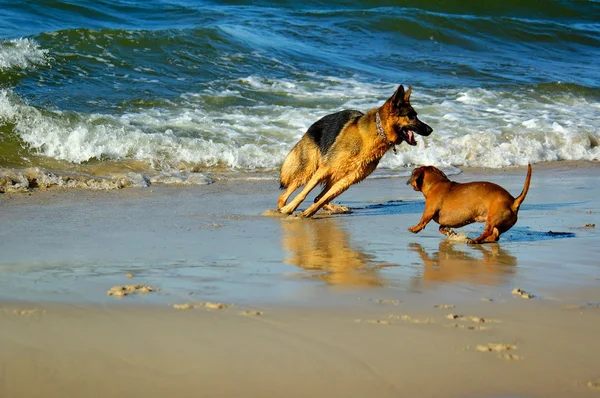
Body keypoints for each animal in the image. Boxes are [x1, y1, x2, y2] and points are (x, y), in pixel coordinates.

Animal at [276, 84, 432, 218]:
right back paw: (283, 208)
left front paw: (308, 213)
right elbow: (303, 194)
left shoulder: (349, 179)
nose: (430, 130)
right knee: (284, 196)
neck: (377, 132)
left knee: (318, 197)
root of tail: (311, 127)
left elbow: (323, 198)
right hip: (309, 170)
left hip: (335, 177)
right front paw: (291, 208)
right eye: (411, 116)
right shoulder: (325, 169)